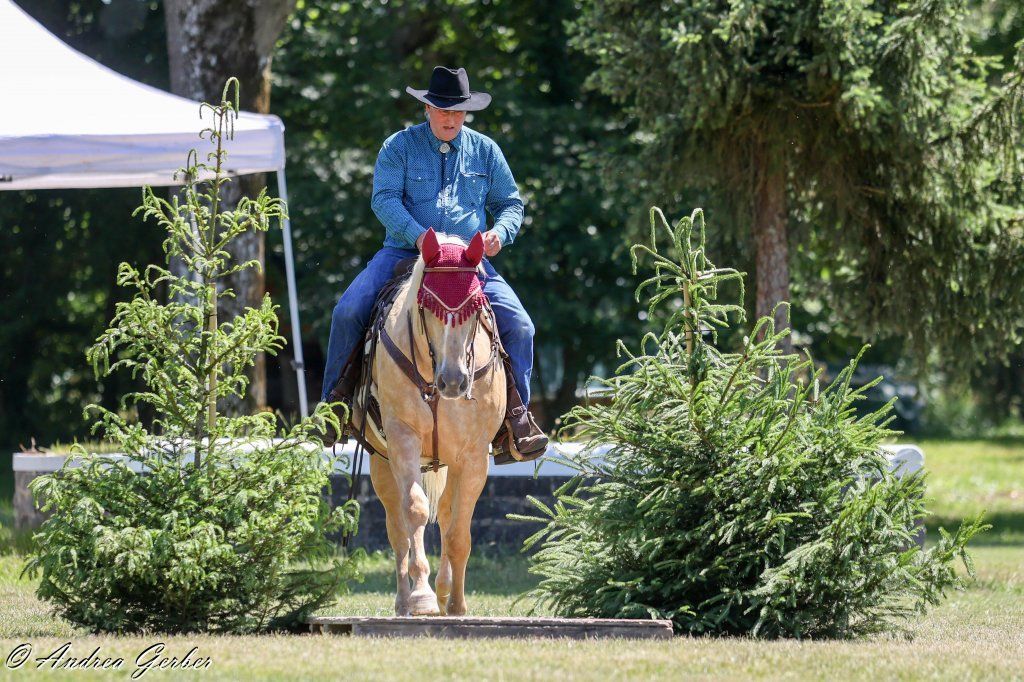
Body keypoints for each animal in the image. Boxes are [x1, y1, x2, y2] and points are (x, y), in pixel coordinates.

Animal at [353, 228, 506, 616]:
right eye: (428, 305)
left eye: (475, 307)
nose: (454, 381)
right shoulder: (402, 439)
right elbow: (416, 511)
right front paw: (421, 595)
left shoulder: (473, 457)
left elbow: (458, 532)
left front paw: (457, 604)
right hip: (381, 461)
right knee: (397, 528)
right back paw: (404, 600)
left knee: (448, 514)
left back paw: (444, 590)